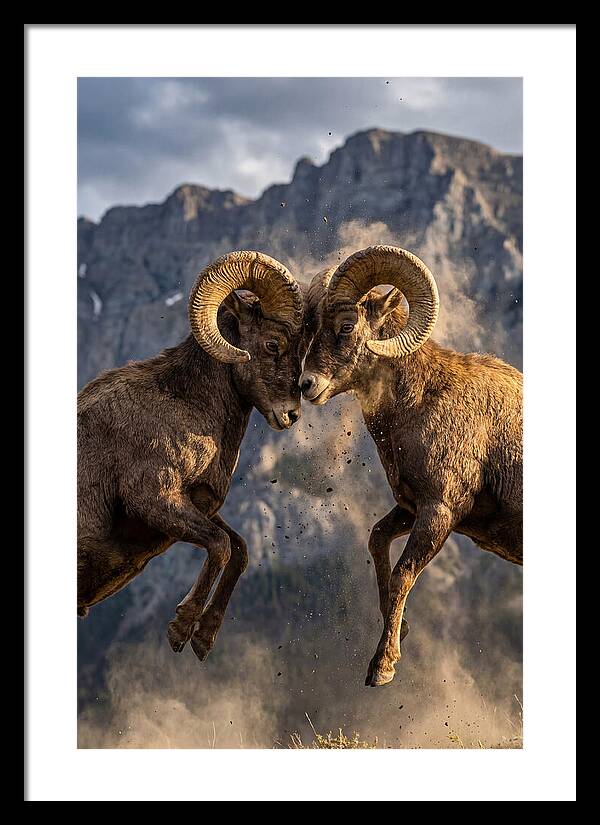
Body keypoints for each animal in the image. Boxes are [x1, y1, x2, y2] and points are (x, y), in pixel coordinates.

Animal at [78, 251, 306, 662]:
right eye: (272, 344)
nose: (291, 414)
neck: (185, 404)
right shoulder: (154, 500)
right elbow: (219, 546)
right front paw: (181, 629)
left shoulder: (197, 506)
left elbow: (239, 549)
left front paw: (203, 639)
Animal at [300, 245, 522, 687]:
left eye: (347, 325)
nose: (306, 385)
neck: (421, 402)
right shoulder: (409, 508)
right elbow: (377, 541)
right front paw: (399, 630)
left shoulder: (439, 512)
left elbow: (404, 574)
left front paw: (382, 667)